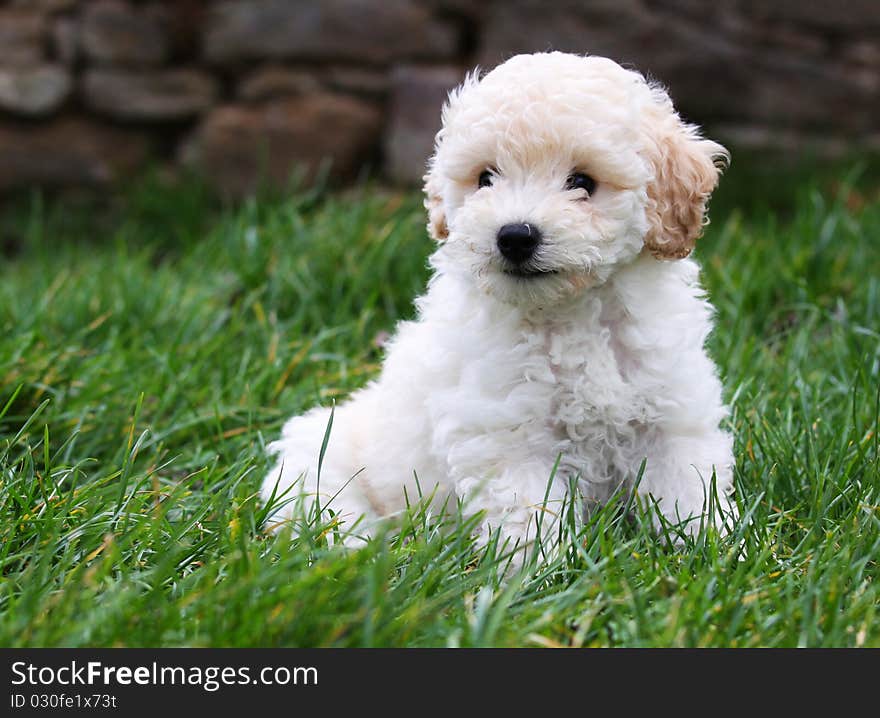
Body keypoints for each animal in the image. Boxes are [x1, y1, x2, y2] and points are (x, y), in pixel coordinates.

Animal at [262, 52, 736, 556]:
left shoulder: (672, 414)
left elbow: (690, 489)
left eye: (582, 182)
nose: (515, 236)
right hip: (318, 461)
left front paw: (715, 548)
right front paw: (538, 569)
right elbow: (530, 513)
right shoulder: (510, 436)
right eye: (486, 177)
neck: (573, 313)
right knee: (324, 515)